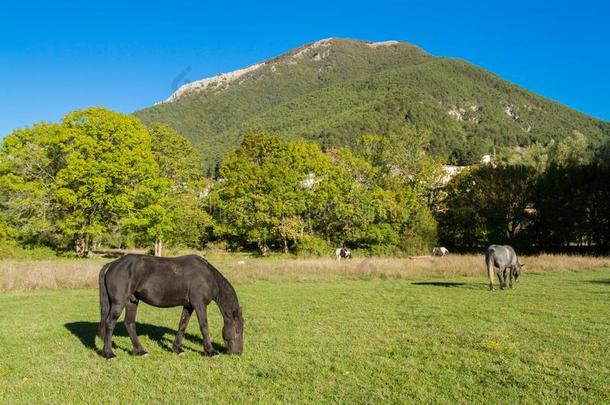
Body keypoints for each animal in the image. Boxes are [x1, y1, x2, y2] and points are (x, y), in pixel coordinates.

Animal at [98, 254, 243, 358]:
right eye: (237, 330)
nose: (239, 352)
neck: (207, 276)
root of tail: (111, 265)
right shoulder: (199, 304)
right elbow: (204, 326)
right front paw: (211, 351)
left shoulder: (189, 306)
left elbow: (182, 325)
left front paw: (177, 349)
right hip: (119, 303)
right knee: (109, 323)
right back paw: (109, 354)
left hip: (132, 301)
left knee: (129, 323)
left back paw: (140, 351)